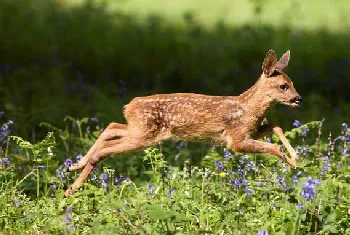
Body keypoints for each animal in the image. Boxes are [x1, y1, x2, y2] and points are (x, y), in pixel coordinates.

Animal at [64, 49, 302, 196]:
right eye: (283, 86)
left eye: (292, 82)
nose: (298, 99)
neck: (247, 109)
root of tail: (129, 106)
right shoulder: (236, 140)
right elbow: (273, 146)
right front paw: (292, 163)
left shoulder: (249, 132)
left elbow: (275, 126)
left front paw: (296, 157)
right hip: (144, 135)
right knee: (107, 147)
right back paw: (72, 187)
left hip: (139, 129)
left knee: (111, 127)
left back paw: (74, 168)